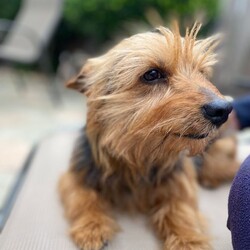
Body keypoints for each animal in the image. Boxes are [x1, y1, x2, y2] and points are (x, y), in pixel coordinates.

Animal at [58, 23, 238, 250]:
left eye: (203, 73)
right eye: (152, 74)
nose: (223, 109)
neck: (138, 156)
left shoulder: (179, 183)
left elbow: (181, 210)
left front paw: (188, 240)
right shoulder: (76, 175)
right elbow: (83, 196)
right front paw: (92, 226)